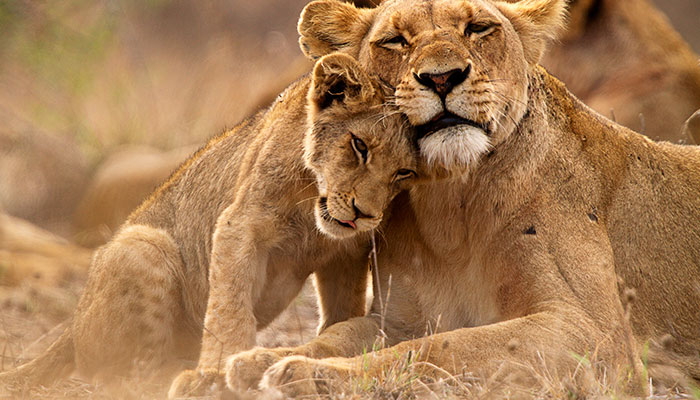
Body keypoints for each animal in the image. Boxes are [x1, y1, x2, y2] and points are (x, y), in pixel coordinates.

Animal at [0, 53, 418, 397]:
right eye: (359, 146)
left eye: (404, 173)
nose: (364, 214)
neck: (311, 206)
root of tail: (70, 328)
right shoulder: (239, 226)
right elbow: (228, 308)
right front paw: (217, 373)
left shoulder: (346, 253)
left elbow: (342, 312)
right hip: (143, 245)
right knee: (125, 378)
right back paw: (178, 377)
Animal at [222, 0, 700, 396]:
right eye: (395, 40)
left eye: (478, 28)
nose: (441, 77)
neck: (451, 206)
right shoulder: (398, 320)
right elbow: (337, 335)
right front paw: (260, 359)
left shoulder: (596, 336)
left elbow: (442, 348)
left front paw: (306, 374)